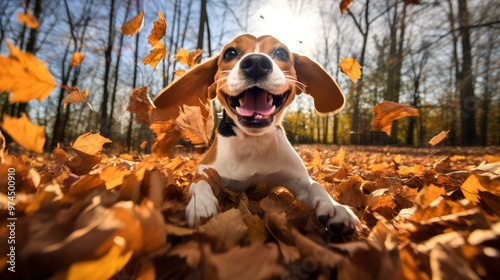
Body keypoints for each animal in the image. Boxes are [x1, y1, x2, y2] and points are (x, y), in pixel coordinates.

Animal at [151, 34, 360, 235]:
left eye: (282, 53)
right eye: (230, 53)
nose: (257, 62)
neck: (254, 140)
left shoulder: (299, 181)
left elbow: (316, 185)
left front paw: (335, 206)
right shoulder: (206, 170)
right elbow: (199, 184)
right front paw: (200, 204)